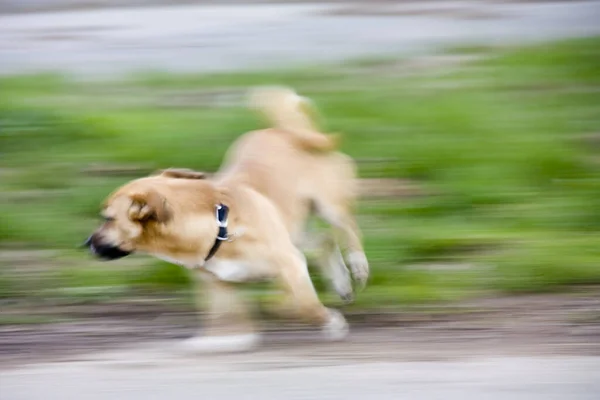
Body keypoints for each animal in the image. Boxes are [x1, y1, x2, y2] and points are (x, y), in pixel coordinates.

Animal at [83, 86, 366, 352]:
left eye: (107, 218)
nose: (86, 243)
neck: (219, 228)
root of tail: (286, 130)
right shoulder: (217, 284)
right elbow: (226, 317)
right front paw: (223, 341)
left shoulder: (290, 263)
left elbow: (302, 304)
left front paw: (331, 322)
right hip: (293, 228)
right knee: (324, 240)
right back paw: (341, 282)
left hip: (330, 207)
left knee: (348, 230)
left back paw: (357, 265)